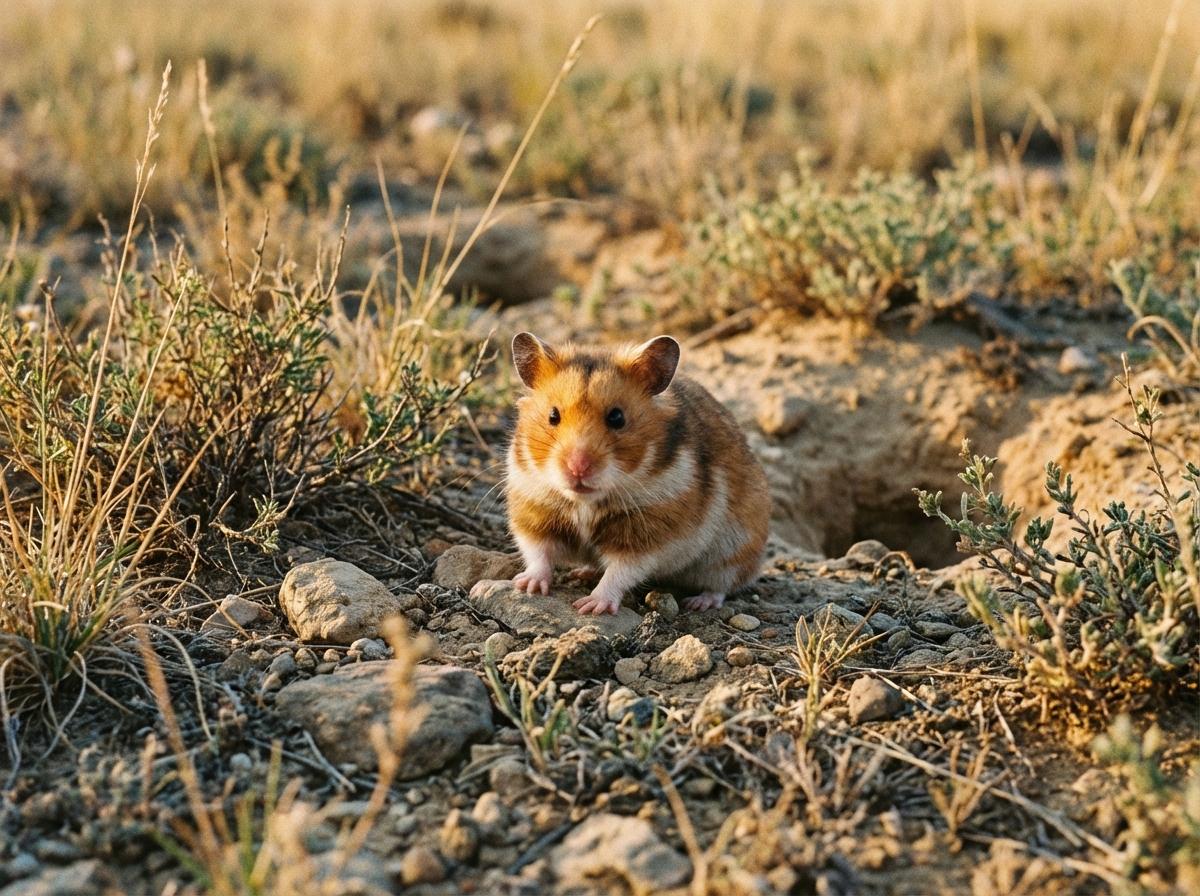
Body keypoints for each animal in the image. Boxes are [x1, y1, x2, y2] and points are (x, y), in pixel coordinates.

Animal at [486, 331, 770, 615]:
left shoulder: (650, 535)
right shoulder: (533, 512)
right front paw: (527, 586)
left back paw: (699, 602)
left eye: (617, 417)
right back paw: (582, 572)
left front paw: (591, 607)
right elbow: (538, 552)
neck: (585, 502)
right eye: (553, 415)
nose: (578, 468)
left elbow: (621, 571)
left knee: (723, 584)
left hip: (733, 551)